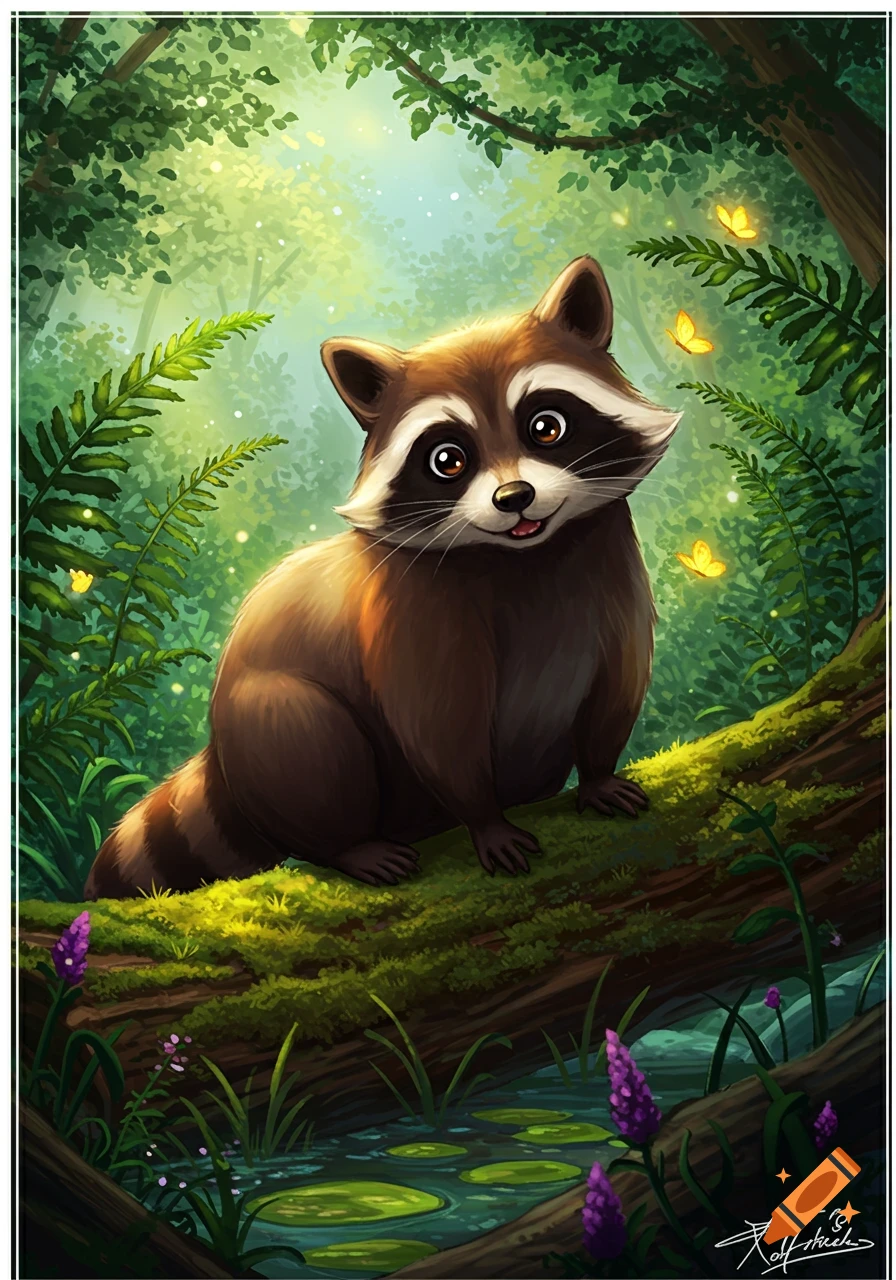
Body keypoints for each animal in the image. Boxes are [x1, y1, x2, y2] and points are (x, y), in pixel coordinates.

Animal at [84, 256, 680, 899]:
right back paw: (352, 846)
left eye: (546, 427)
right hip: (268, 729)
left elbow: (617, 681)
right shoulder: (409, 609)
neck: (528, 554)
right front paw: (486, 821)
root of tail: (221, 754)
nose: (514, 497)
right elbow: (439, 729)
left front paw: (596, 775)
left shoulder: (609, 566)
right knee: (313, 745)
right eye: (448, 460)